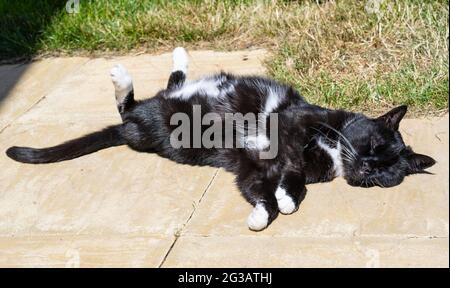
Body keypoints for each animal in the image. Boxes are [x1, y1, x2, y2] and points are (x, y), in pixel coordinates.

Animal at [6, 47, 436, 232]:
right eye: (373, 146)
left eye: (385, 171)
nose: (366, 166)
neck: (332, 151)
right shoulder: (294, 122)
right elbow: (288, 160)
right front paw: (276, 205)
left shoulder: (255, 167)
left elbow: (275, 187)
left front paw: (274, 208)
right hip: (157, 123)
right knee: (130, 106)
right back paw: (129, 74)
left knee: (151, 97)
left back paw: (176, 61)